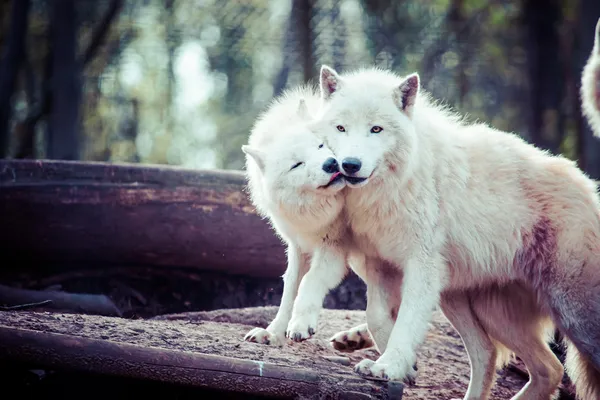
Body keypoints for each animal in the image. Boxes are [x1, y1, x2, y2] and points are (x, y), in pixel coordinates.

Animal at [240, 86, 352, 346]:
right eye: (297, 165)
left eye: (320, 146)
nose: (331, 164)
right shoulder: (299, 247)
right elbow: (289, 289)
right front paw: (273, 333)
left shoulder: (333, 247)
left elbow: (309, 281)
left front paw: (301, 324)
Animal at [312, 63, 600, 400]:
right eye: (341, 128)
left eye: (376, 129)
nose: (350, 164)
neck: (396, 185)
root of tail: (589, 188)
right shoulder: (380, 262)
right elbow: (377, 316)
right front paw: (404, 366)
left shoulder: (421, 265)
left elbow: (407, 319)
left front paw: (390, 366)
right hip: (477, 307)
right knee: (519, 361)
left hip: (574, 315)